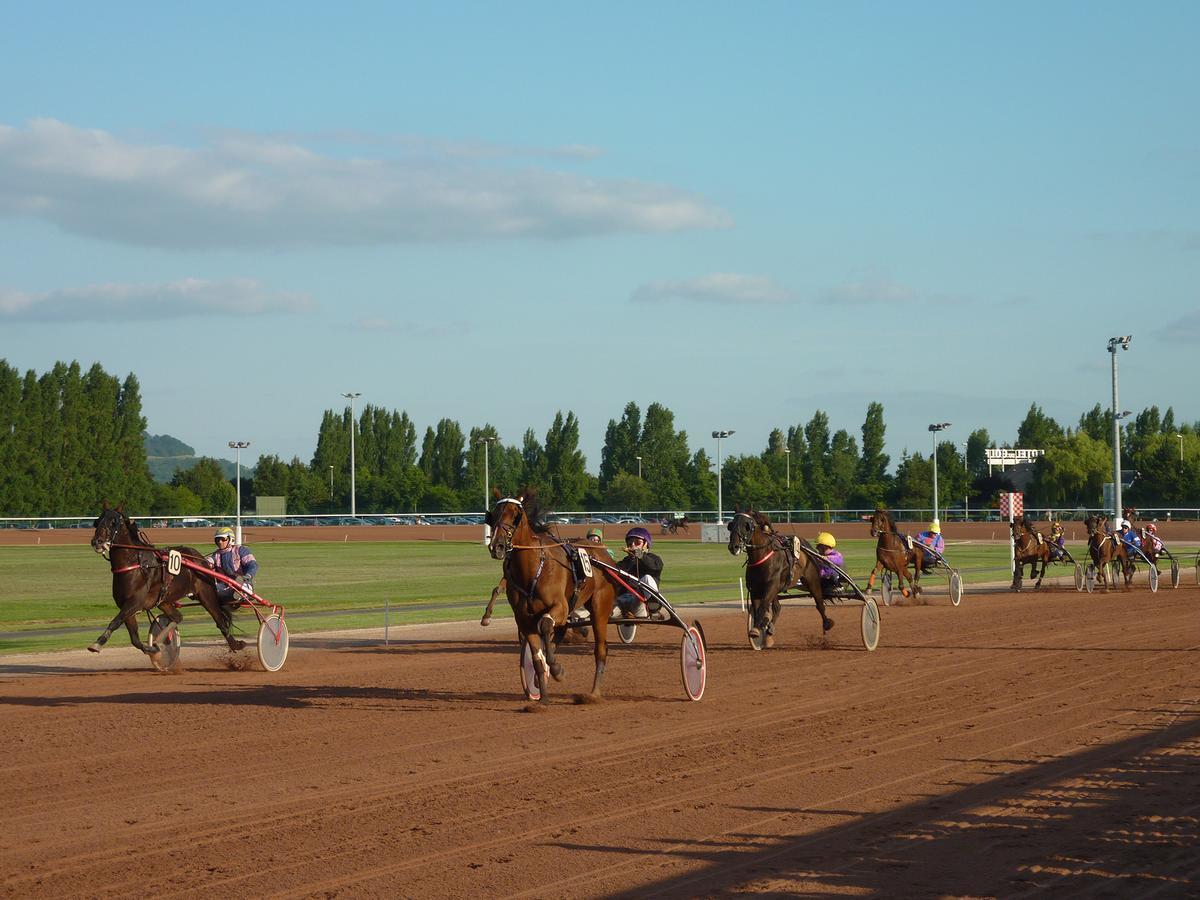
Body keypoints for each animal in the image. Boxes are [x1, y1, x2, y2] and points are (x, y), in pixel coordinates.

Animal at [87, 504, 246, 657]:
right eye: (96, 522)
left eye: (113, 522)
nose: (97, 542)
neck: (134, 565)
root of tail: (201, 559)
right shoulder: (126, 606)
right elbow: (135, 639)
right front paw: (152, 648)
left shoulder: (135, 602)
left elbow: (115, 621)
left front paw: (97, 643)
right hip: (165, 600)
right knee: (177, 617)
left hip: (206, 594)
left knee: (220, 621)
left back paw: (236, 644)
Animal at [487, 487, 619, 705]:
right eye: (493, 514)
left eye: (516, 515)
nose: (497, 546)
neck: (533, 569)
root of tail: (603, 554)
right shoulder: (524, 620)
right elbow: (537, 658)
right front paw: (542, 698)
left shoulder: (560, 607)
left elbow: (546, 624)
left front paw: (557, 670)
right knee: (562, 630)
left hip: (600, 607)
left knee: (600, 649)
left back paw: (593, 694)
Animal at [720, 508, 835, 648]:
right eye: (731, 525)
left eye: (746, 525)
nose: (734, 547)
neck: (761, 557)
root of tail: (807, 548)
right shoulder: (755, 589)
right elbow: (759, 608)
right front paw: (760, 628)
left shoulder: (771, 586)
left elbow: (763, 606)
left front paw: (759, 628)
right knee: (777, 608)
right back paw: (769, 631)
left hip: (812, 580)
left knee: (819, 603)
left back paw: (827, 623)